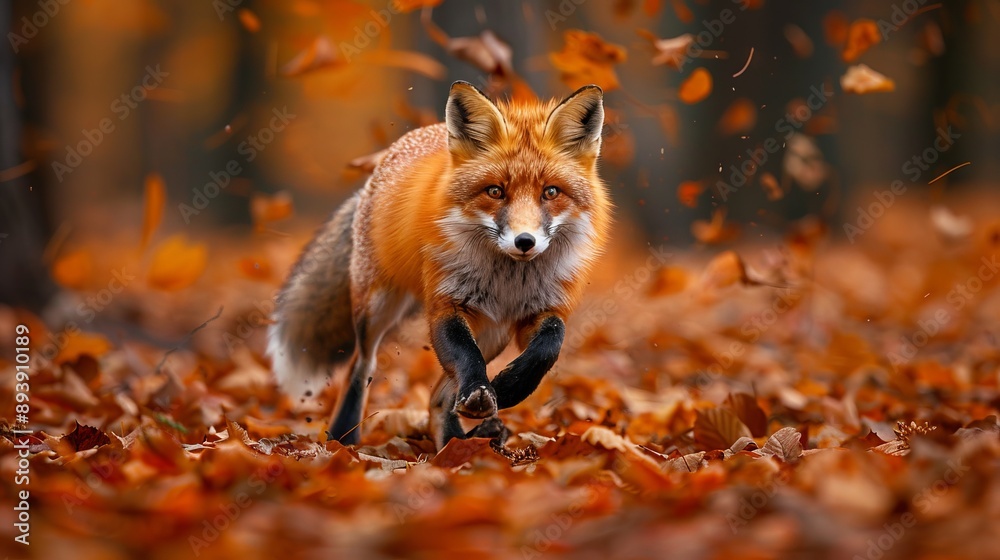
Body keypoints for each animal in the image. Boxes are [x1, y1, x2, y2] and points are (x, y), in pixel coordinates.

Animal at [267, 81, 611, 448]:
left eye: (550, 192)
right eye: (495, 191)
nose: (525, 242)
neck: (508, 281)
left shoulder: (541, 310)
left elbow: (549, 346)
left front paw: (508, 389)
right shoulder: (447, 303)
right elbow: (464, 355)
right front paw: (487, 392)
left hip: (492, 332)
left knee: (438, 396)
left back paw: (453, 442)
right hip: (377, 307)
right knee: (361, 365)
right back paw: (344, 436)